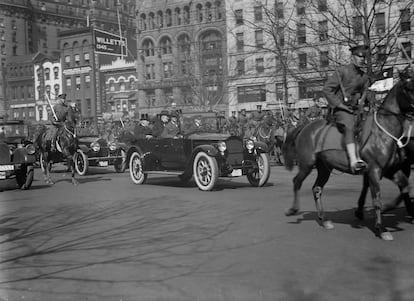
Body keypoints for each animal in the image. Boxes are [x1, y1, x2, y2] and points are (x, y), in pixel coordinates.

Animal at [284, 67, 414, 240]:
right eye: (408, 88)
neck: (384, 131)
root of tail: (306, 126)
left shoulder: (391, 170)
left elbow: (405, 186)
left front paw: (389, 208)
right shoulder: (374, 171)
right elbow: (377, 199)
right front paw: (381, 228)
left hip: (324, 168)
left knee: (317, 188)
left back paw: (324, 219)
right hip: (306, 164)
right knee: (296, 182)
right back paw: (293, 209)